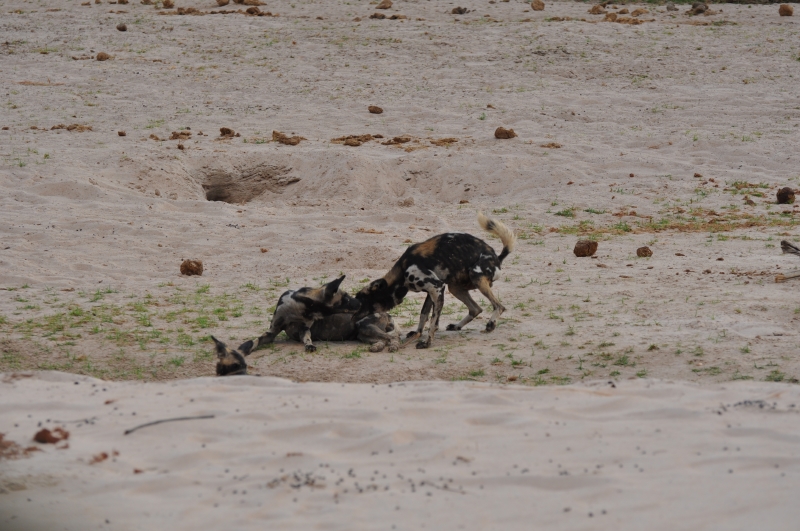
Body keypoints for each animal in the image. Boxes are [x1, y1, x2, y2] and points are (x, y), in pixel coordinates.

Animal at [355, 212, 516, 349]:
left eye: (362, 304)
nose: (355, 322)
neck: (402, 272)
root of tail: (497, 257)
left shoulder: (437, 287)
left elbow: (433, 322)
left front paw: (427, 343)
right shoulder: (432, 292)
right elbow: (423, 315)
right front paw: (417, 333)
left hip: (476, 278)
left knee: (499, 306)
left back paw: (490, 324)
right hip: (455, 288)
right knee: (476, 308)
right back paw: (457, 326)